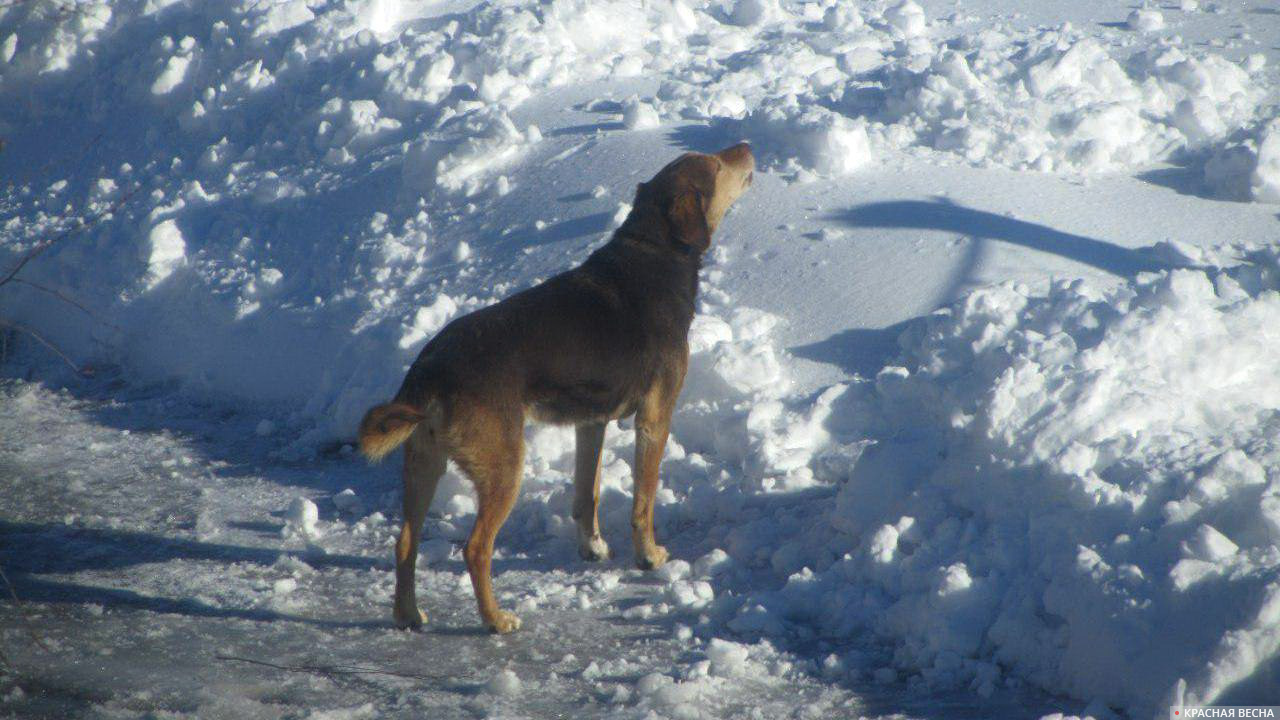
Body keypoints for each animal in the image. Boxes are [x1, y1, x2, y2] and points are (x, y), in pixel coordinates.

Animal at [355, 142, 752, 630]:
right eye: (715, 165)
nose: (746, 146)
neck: (654, 249)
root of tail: (430, 370)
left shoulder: (591, 422)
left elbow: (587, 493)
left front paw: (593, 548)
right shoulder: (655, 418)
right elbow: (643, 499)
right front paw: (649, 557)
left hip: (423, 462)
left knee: (404, 543)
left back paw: (409, 614)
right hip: (504, 468)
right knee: (475, 548)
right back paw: (495, 619)